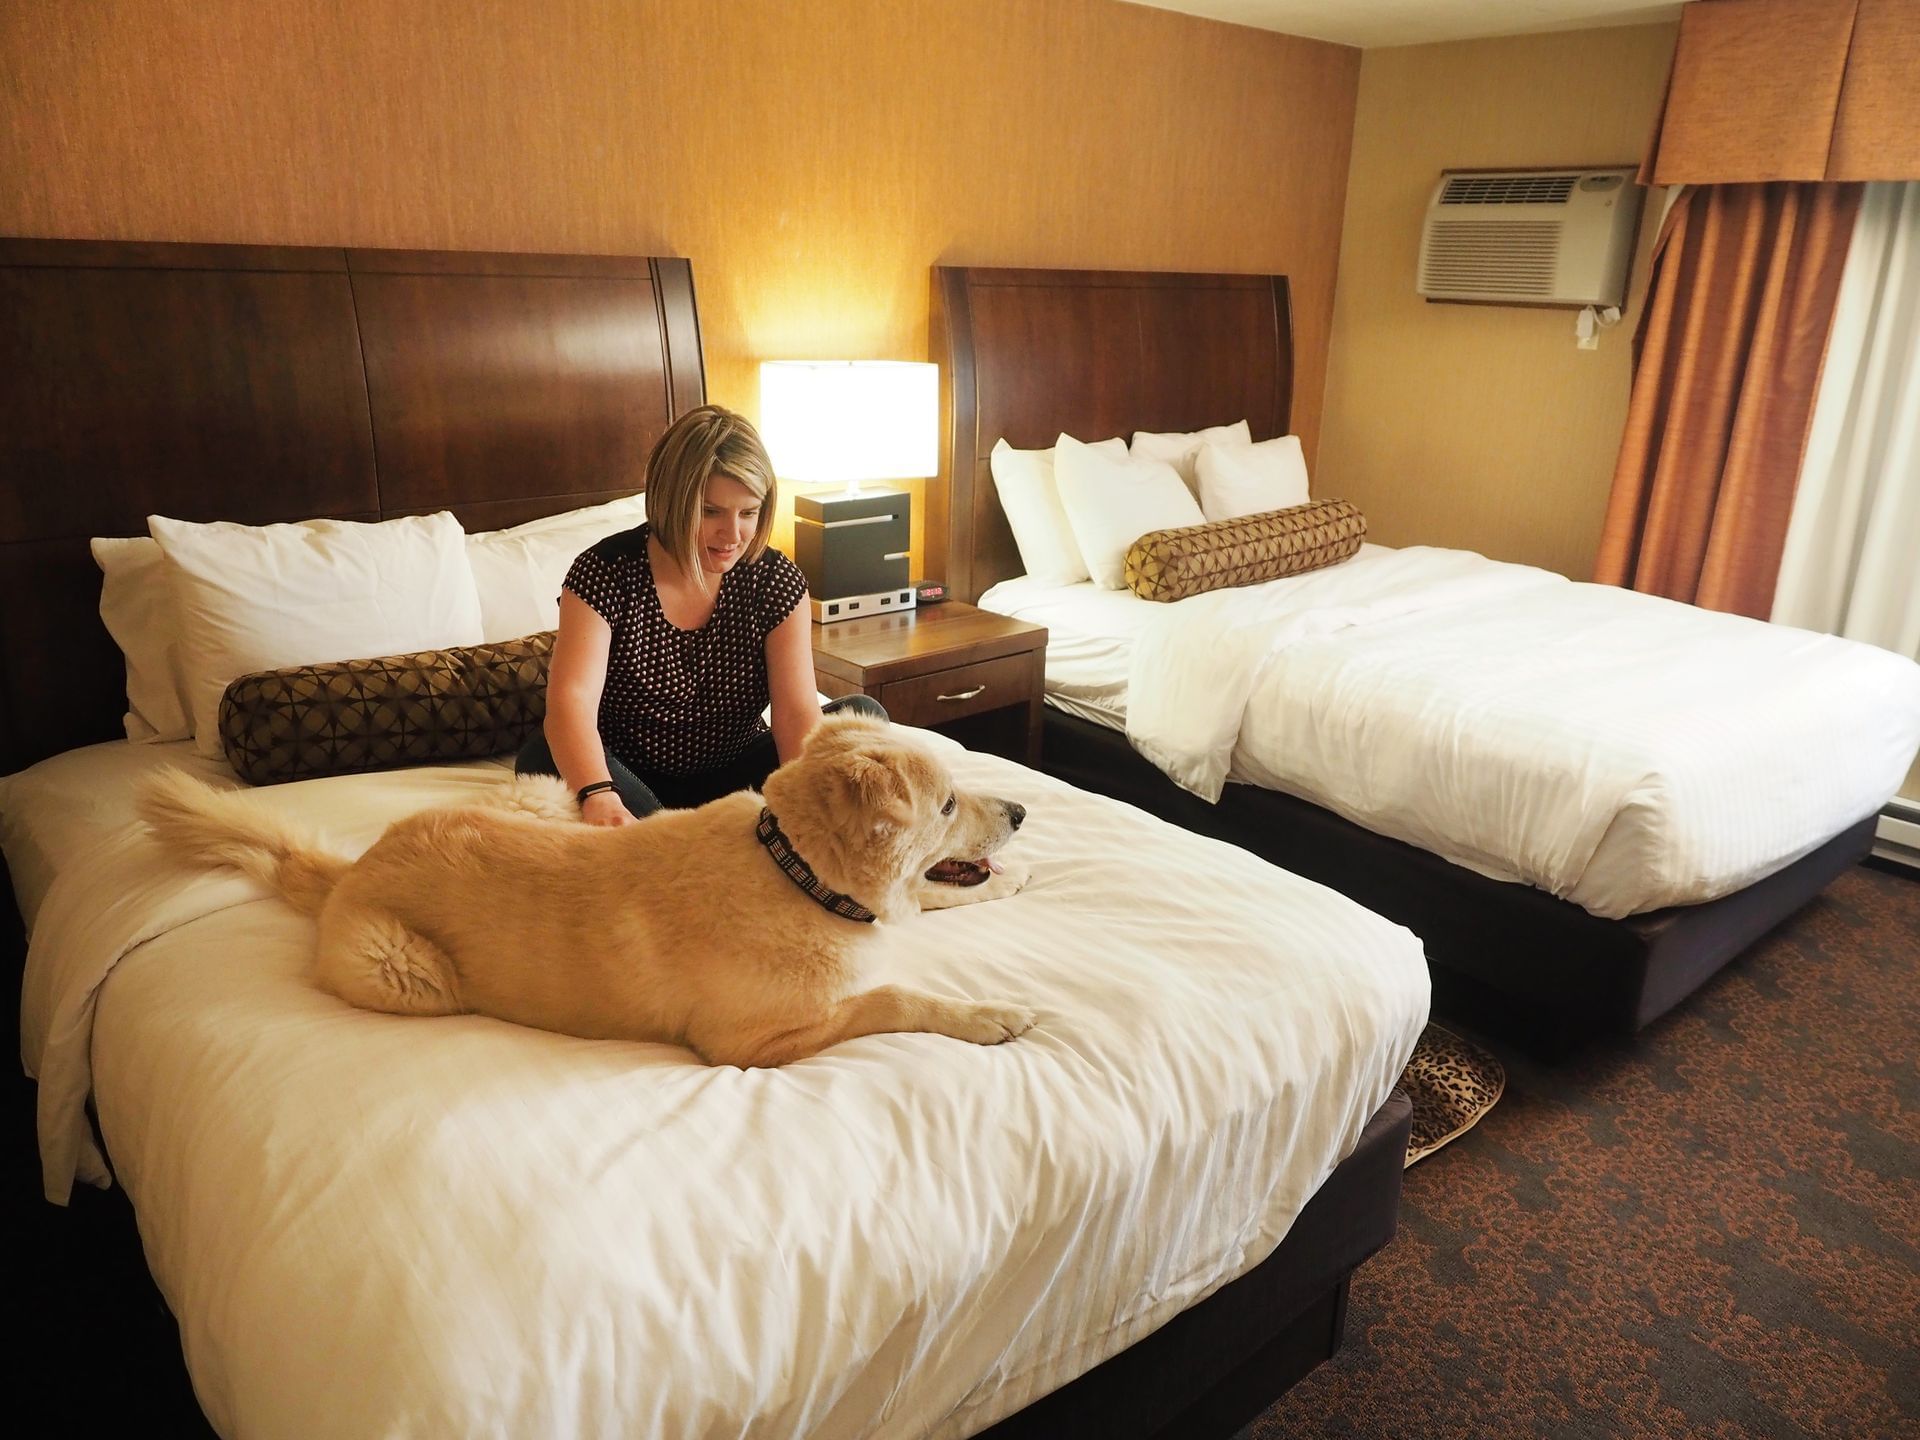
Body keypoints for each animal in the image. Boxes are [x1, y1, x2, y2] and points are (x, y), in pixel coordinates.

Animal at [139, 721, 1036, 1075]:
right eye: (946, 805)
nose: (1023, 812)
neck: (795, 872)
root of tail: (352, 869)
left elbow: (930, 913)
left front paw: (1017, 877)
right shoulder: (748, 1045)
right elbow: (893, 996)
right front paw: (989, 1014)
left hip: (550, 798)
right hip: (410, 973)